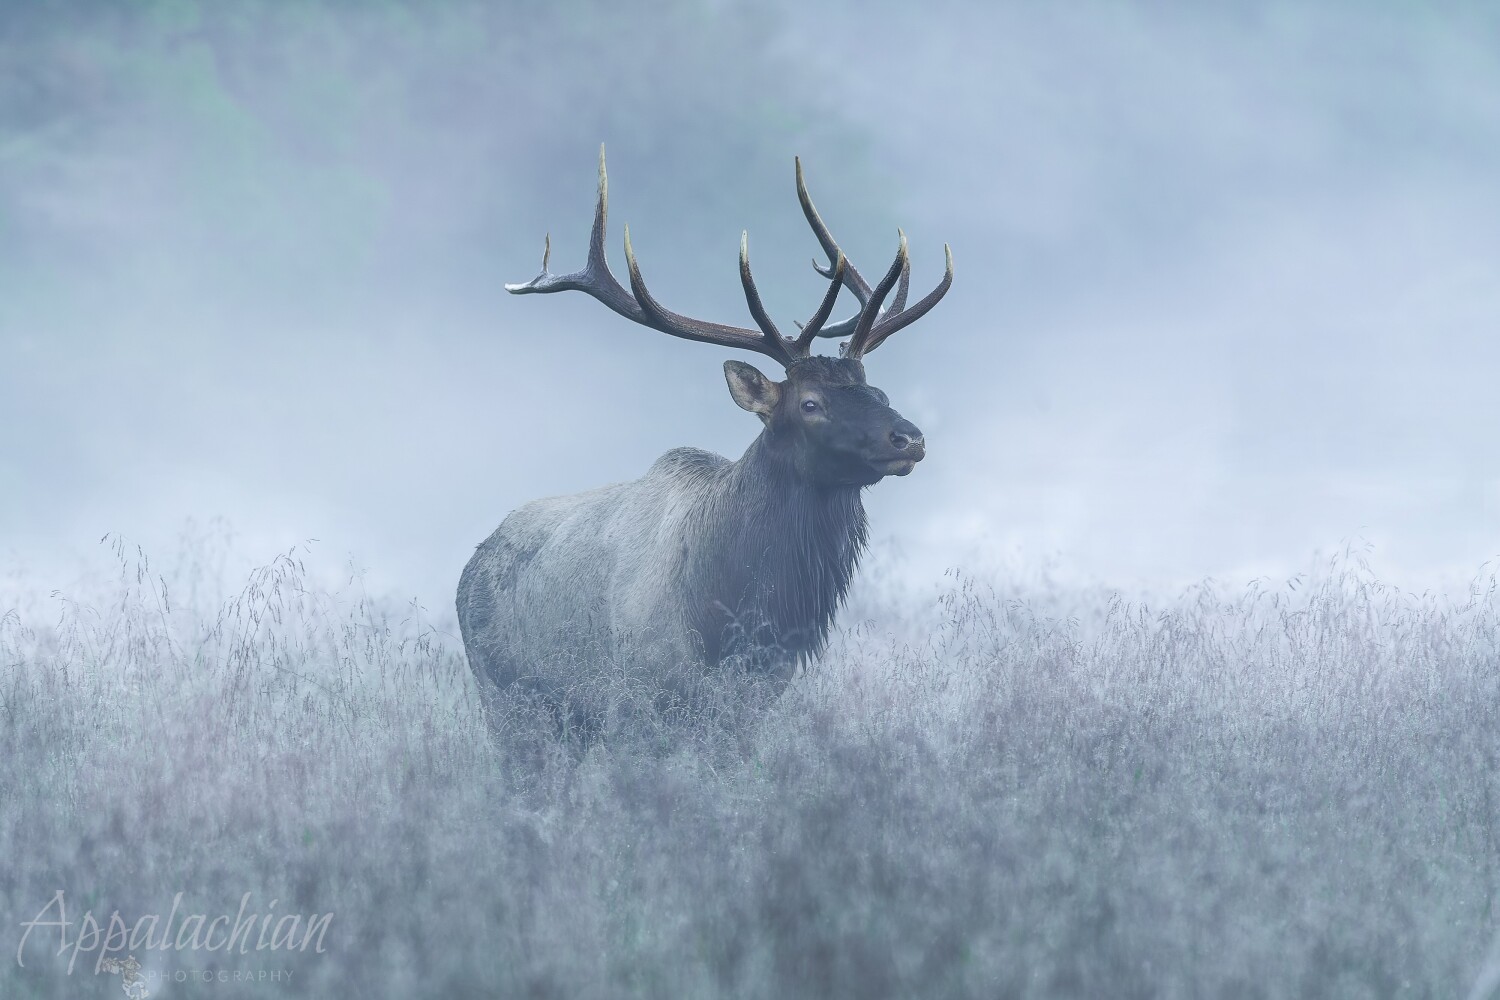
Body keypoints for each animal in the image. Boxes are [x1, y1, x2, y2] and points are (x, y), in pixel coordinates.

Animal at [456, 147, 952, 726]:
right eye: (810, 404)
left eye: (877, 389)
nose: (909, 438)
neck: (731, 620)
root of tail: (469, 568)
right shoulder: (630, 697)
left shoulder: (757, 701)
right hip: (505, 700)